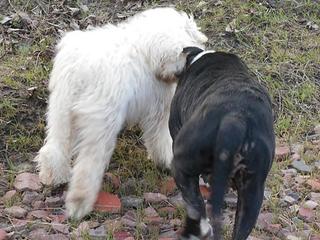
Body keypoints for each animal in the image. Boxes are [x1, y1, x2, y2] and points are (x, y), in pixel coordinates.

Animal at [35, 7, 208, 219]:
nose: (178, 73)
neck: (146, 49)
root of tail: (81, 70)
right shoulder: (158, 110)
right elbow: (159, 138)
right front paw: (166, 160)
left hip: (60, 111)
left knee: (54, 147)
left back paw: (53, 177)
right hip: (100, 120)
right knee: (88, 165)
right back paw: (80, 202)